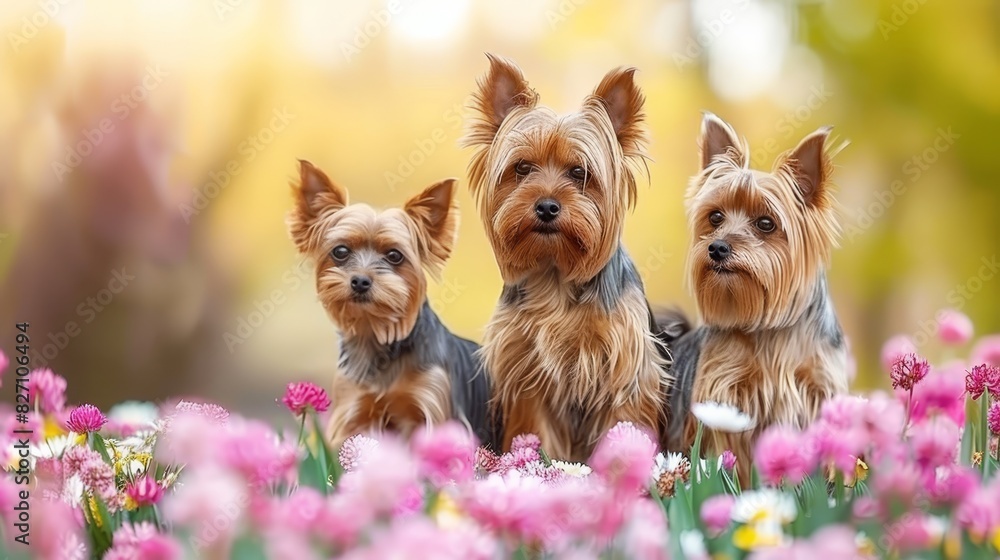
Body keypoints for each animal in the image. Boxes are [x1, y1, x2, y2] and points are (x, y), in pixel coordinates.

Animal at [286, 160, 496, 448]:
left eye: (395, 255)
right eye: (340, 251)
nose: (360, 281)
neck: (378, 333)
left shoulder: (431, 404)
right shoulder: (354, 408)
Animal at [462, 54, 672, 462]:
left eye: (580, 173)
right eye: (522, 168)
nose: (546, 206)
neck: (555, 272)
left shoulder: (623, 369)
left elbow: (622, 422)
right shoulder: (529, 372)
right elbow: (535, 428)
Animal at [664, 111, 852, 466]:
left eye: (766, 223)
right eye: (715, 217)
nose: (717, 248)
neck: (770, 326)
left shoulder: (818, 391)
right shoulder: (725, 397)